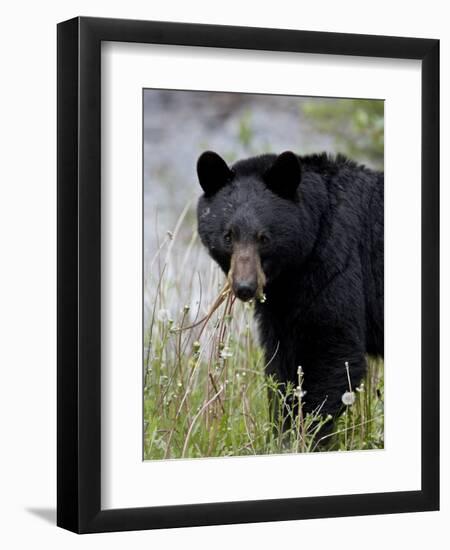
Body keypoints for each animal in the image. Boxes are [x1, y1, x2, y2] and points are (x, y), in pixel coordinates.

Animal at [197, 150, 384, 432]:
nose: (244, 287)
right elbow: (282, 362)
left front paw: (305, 432)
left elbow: (332, 351)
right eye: (228, 236)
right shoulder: (282, 301)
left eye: (264, 238)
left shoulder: (335, 264)